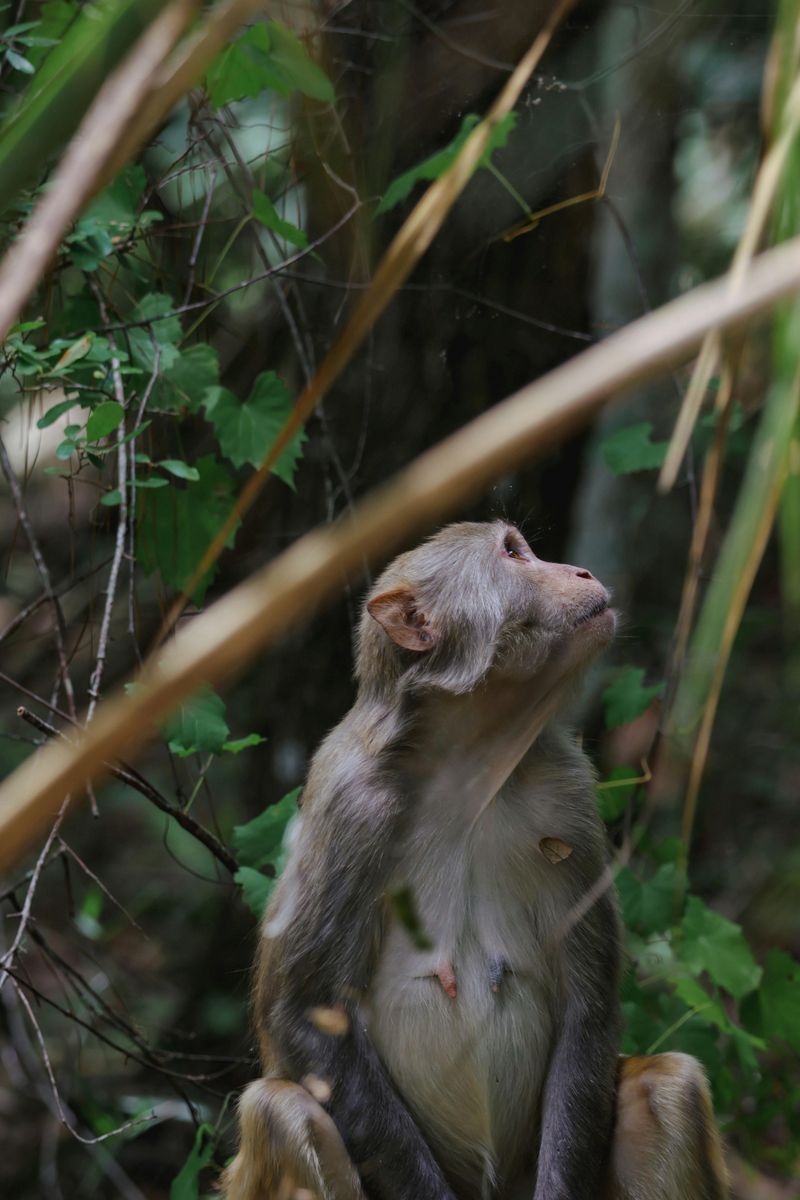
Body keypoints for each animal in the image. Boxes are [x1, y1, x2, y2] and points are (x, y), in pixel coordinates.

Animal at [221, 521, 729, 1200]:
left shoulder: (566, 792)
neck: (465, 768)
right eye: (513, 553)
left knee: (668, 1084)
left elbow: (588, 1007)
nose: (580, 573)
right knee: (284, 1109)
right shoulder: (349, 810)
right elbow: (306, 1015)